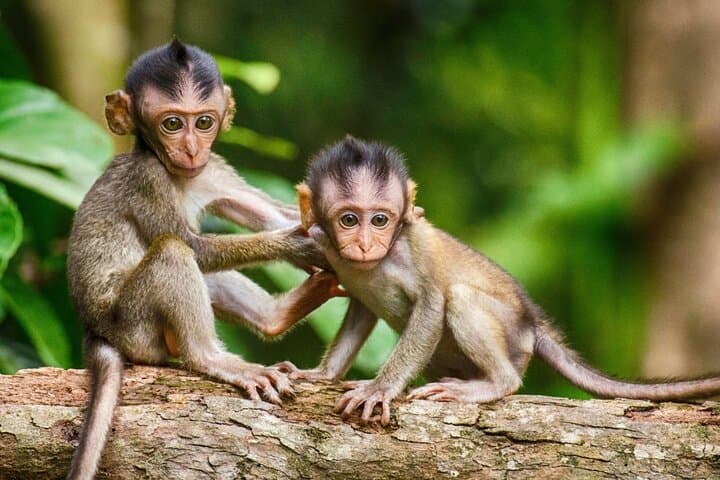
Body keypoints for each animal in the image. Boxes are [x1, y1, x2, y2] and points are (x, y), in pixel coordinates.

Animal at [66, 40, 341, 480]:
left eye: (205, 122)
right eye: (172, 124)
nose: (192, 148)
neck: (178, 174)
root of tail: (96, 331)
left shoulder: (213, 170)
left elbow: (269, 213)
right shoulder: (147, 179)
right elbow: (194, 247)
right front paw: (298, 245)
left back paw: (278, 315)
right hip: (134, 326)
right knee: (173, 252)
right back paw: (212, 358)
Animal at [282, 135, 720, 426]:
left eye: (379, 219)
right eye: (348, 219)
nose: (365, 244)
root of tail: (532, 323)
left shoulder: (414, 246)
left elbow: (432, 304)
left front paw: (380, 388)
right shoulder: (329, 249)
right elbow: (360, 310)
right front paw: (322, 375)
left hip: (513, 337)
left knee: (461, 299)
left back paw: (493, 384)